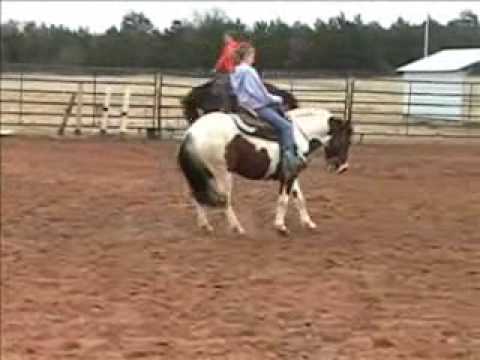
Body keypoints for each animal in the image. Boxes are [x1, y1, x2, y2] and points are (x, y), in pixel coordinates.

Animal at [177, 107, 352, 235]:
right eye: (346, 140)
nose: (343, 168)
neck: (300, 135)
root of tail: (191, 132)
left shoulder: (292, 174)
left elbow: (300, 199)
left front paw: (308, 223)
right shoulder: (288, 176)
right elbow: (284, 200)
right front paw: (280, 226)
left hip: (203, 174)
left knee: (196, 195)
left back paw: (205, 225)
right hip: (221, 174)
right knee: (223, 199)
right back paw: (237, 228)